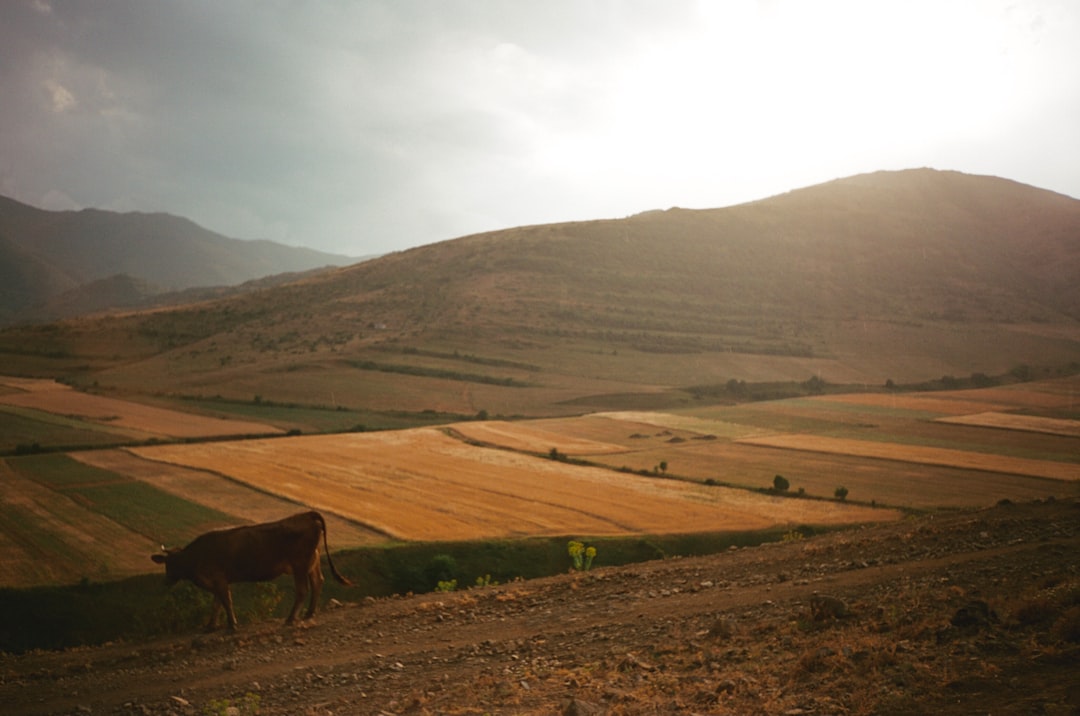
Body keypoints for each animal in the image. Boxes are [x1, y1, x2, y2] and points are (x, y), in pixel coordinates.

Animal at [151, 509, 349, 635]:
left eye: (171, 563)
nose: (166, 581)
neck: (196, 557)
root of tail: (307, 514)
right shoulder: (217, 582)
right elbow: (216, 604)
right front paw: (210, 626)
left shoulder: (219, 579)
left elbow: (226, 602)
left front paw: (232, 625)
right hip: (312, 560)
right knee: (318, 582)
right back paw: (309, 613)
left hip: (300, 564)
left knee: (302, 589)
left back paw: (291, 618)